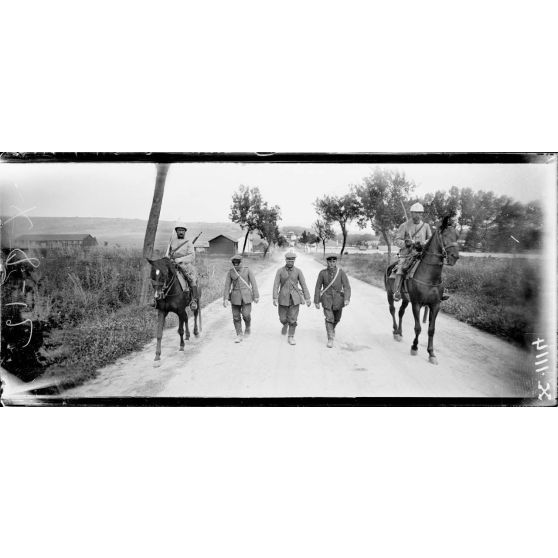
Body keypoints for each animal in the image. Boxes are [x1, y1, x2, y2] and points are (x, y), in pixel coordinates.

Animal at [384, 215, 460, 368]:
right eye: (445, 235)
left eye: (457, 235)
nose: (455, 256)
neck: (430, 276)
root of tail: (391, 266)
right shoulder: (417, 304)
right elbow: (418, 327)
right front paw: (414, 347)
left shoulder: (435, 305)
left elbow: (431, 330)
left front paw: (431, 354)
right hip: (390, 294)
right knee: (393, 310)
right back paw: (395, 331)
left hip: (406, 299)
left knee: (400, 312)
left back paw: (400, 332)